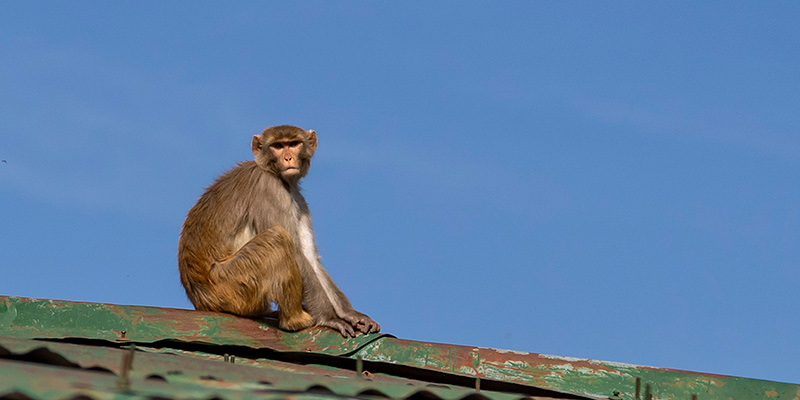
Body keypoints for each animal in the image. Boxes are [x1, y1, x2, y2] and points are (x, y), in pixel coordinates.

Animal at [180, 126, 380, 338]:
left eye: (293, 144)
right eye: (277, 146)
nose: (288, 158)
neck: (274, 173)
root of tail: (200, 299)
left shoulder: (297, 198)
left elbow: (310, 258)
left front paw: (351, 314)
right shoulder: (268, 188)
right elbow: (298, 253)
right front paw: (329, 318)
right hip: (229, 284)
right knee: (277, 237)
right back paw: (294, 320)